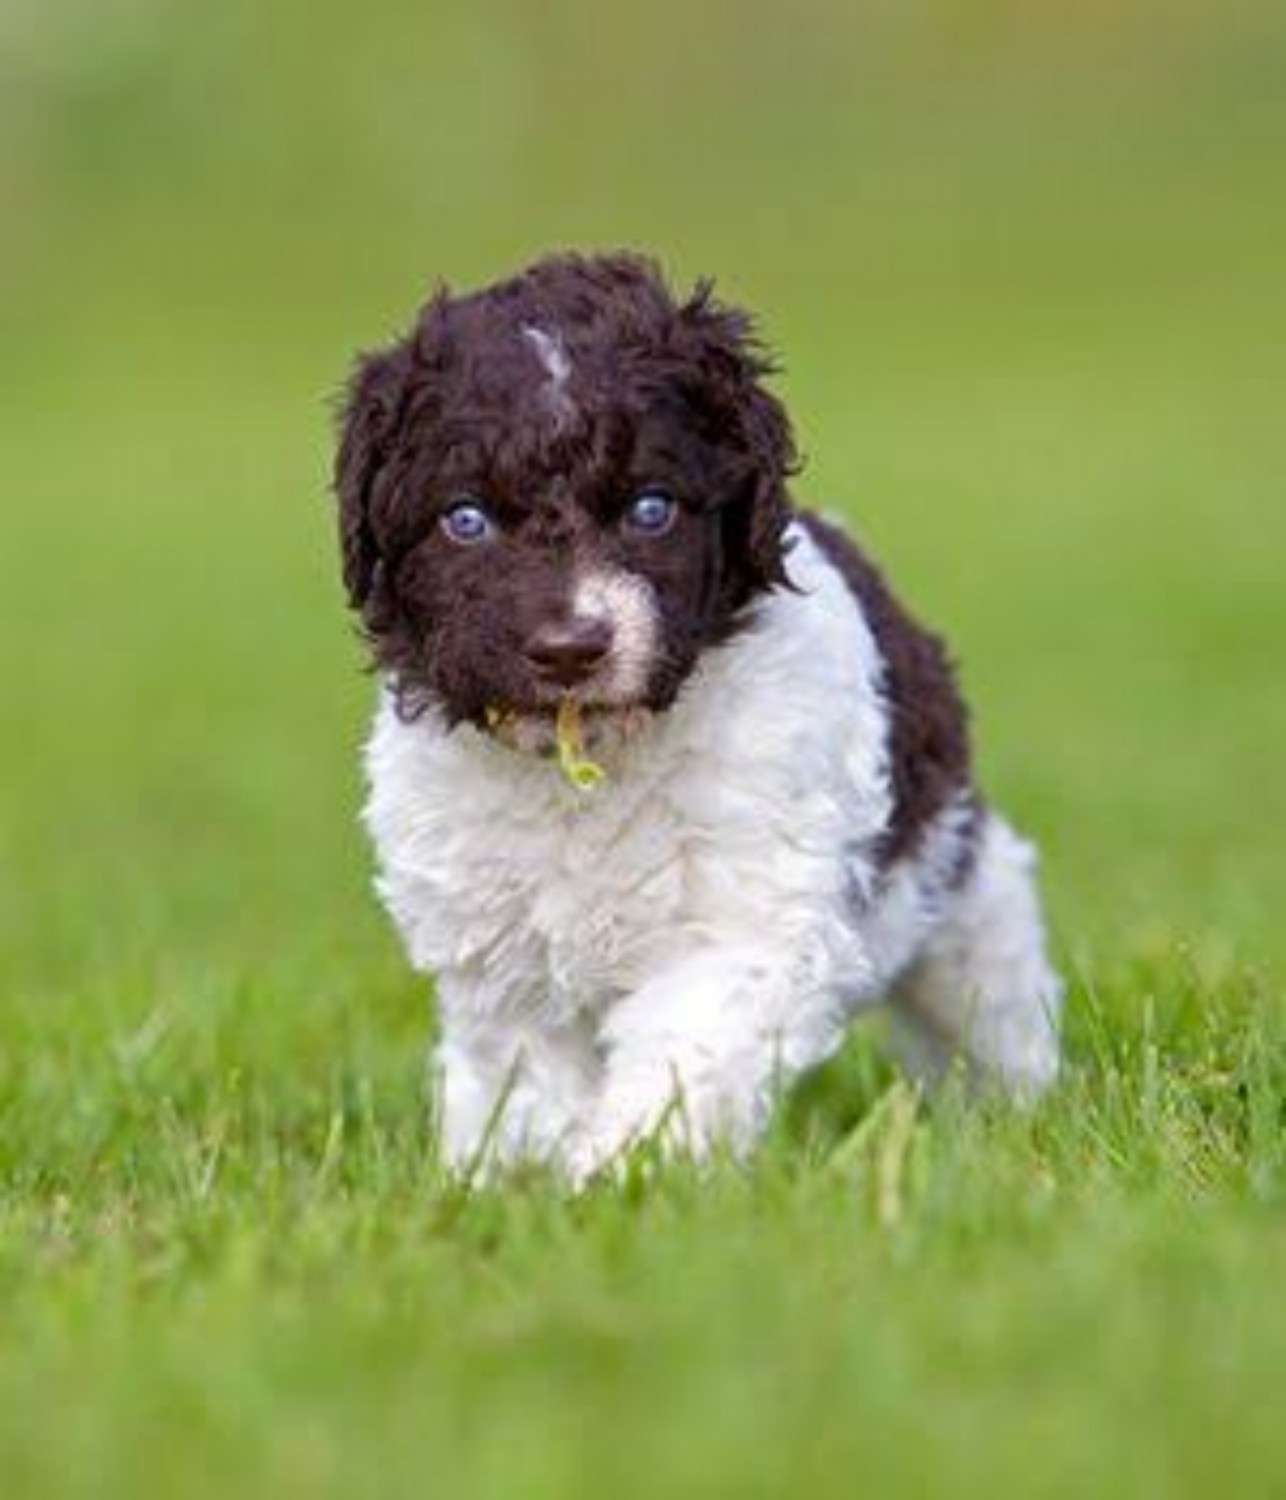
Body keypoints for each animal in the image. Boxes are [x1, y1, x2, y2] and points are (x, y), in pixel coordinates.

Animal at [333, 251, 1061, 1182]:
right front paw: (505, 1185)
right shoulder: (500, 959)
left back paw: (1017, 1115)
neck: (589, 767)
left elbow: (687, 1049)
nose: (570, 648)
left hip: (956, 889)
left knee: (991, 1004)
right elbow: (522, 1081)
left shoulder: (748, 918)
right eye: (466, 520)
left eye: (651, 509)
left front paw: (617, 1174)